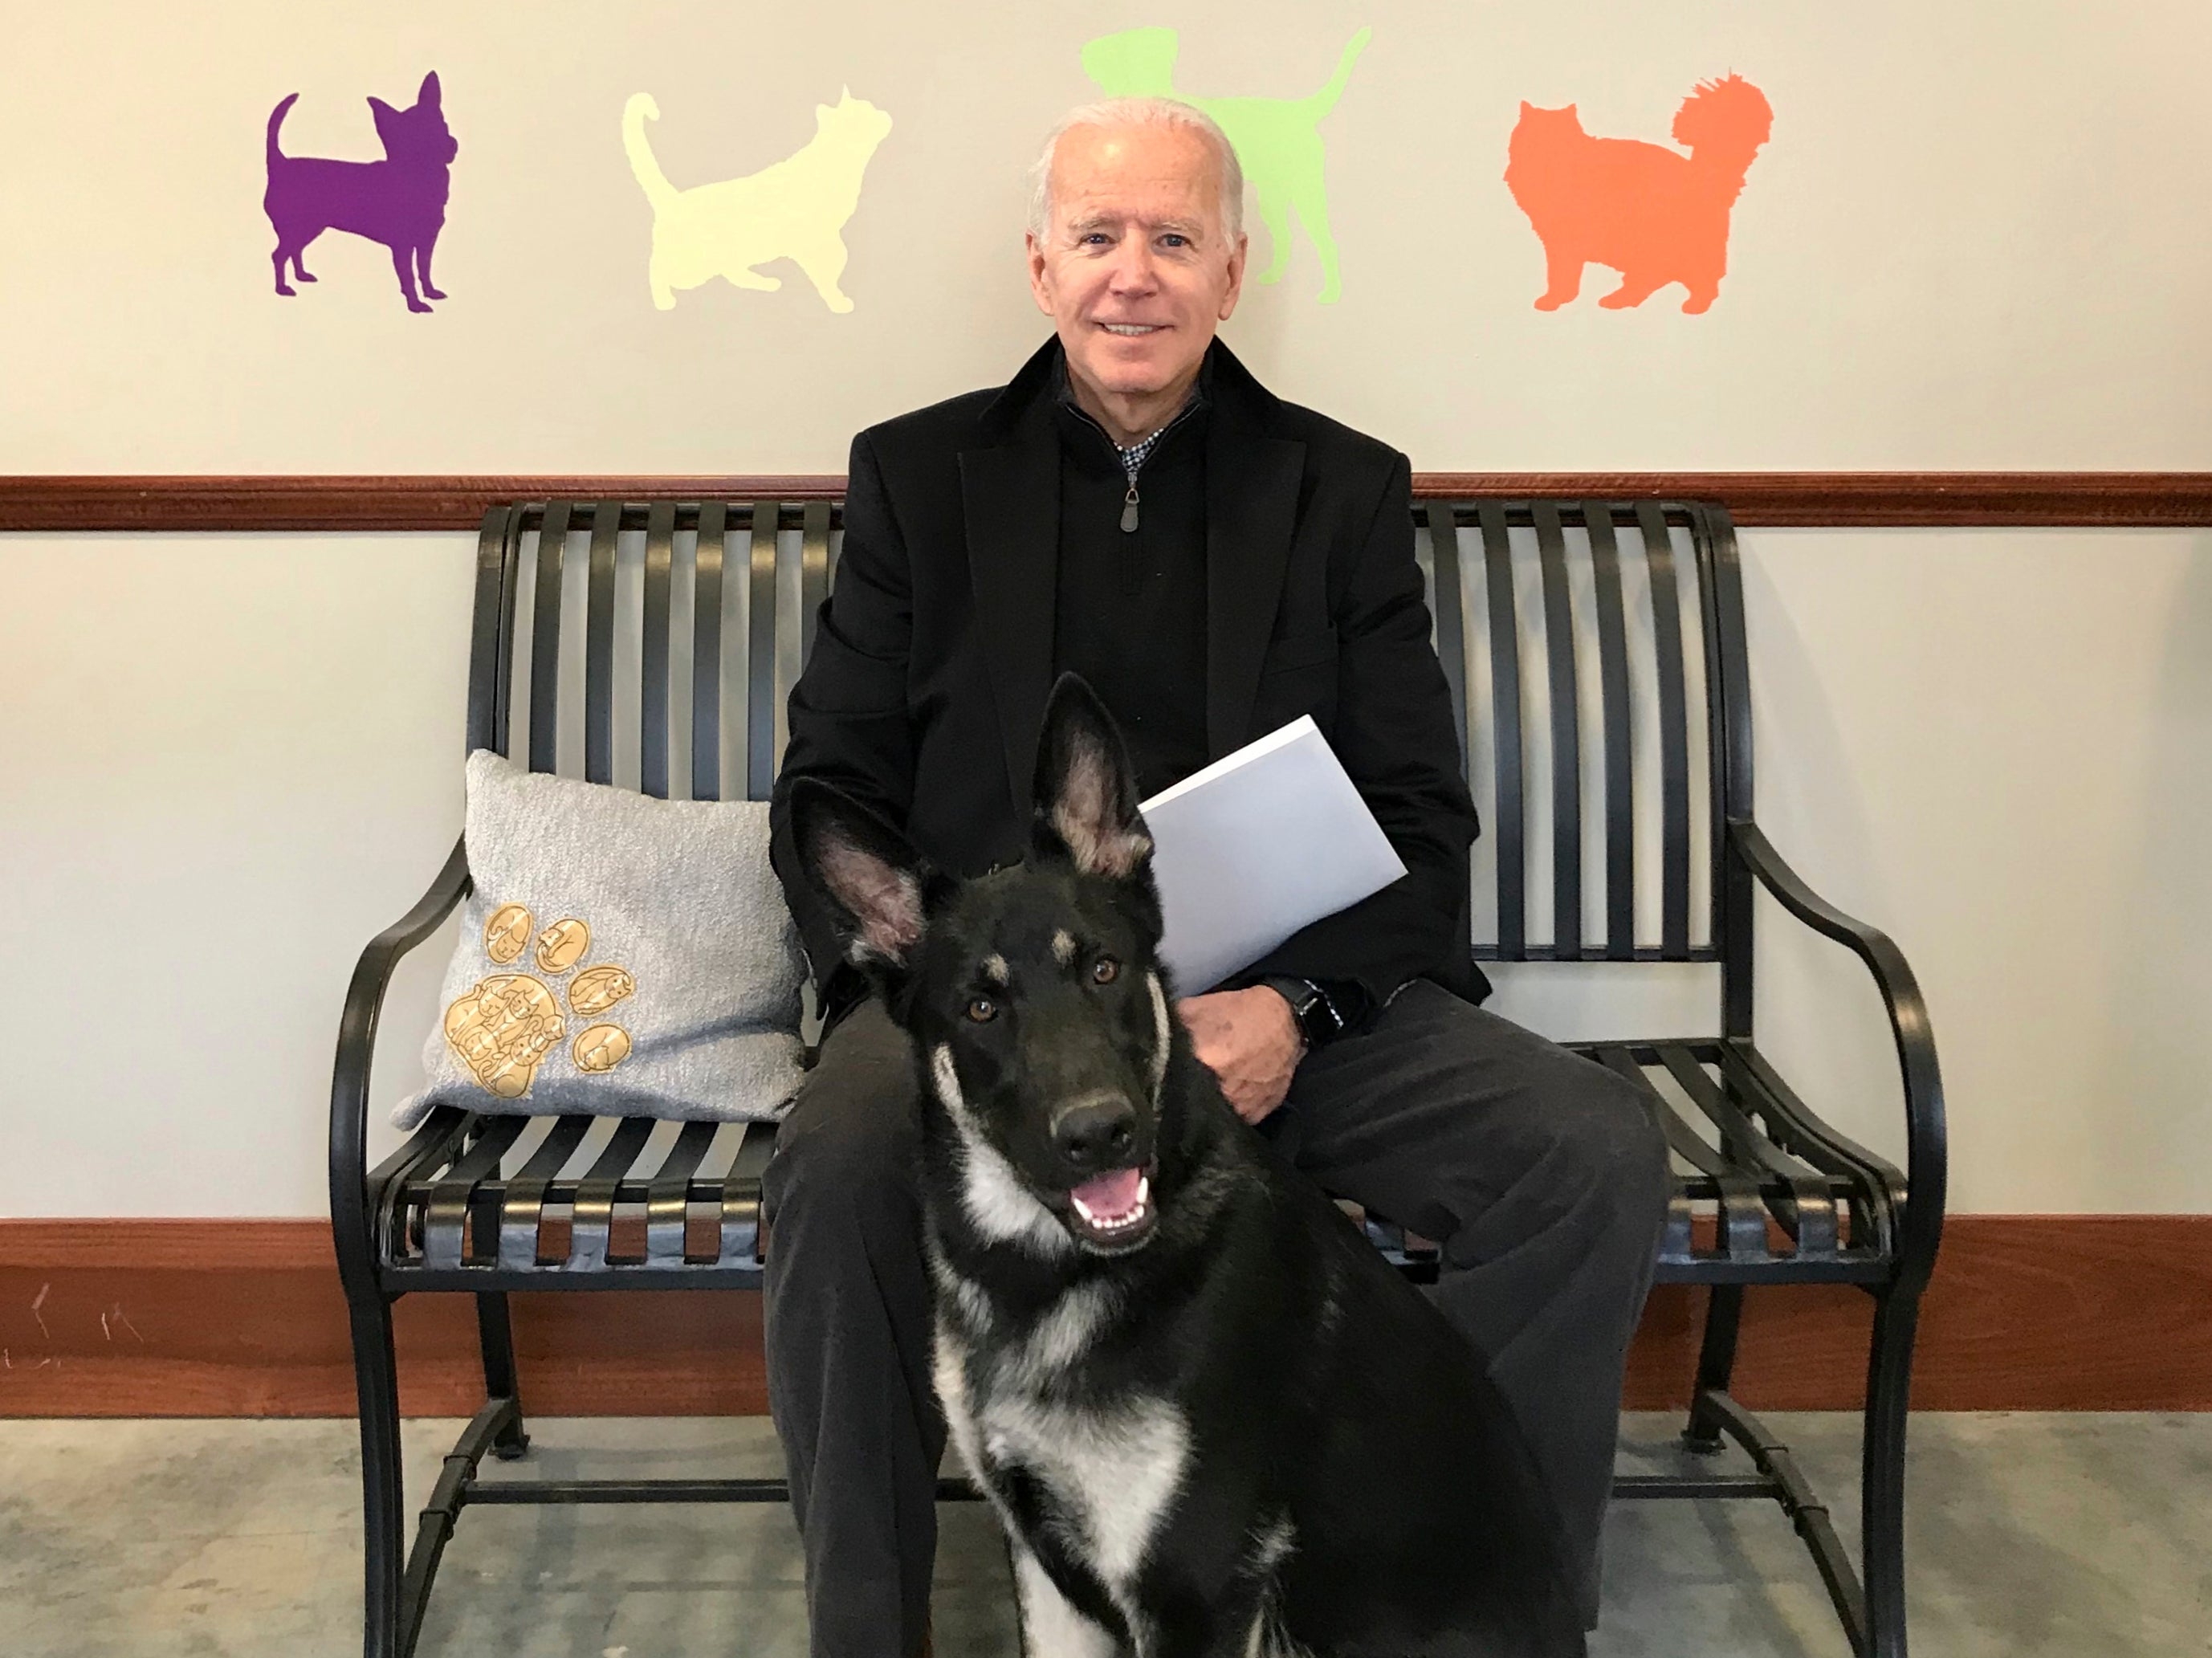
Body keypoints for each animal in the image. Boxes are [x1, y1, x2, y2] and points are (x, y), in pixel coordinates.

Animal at [800, 676, 1592, 1658]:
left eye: (1104, 969)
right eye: (982, 1008)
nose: (1100, 1133)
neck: (1046, 1274)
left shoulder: (1193, 1593)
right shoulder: (1051, 1580)